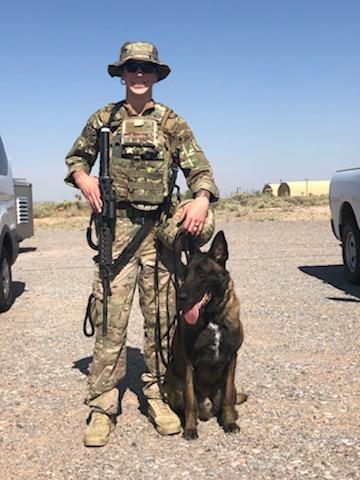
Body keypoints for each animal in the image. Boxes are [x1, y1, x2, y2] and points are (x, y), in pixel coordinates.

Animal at [165, 231, 246, 440]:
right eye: (185, 274)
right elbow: (190, 402)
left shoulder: (231, 359)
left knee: (229, 400)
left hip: (231, 386)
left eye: (202, 275)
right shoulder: (188, 365)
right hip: (175, 385)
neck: (212, 317)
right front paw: (190, 429)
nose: (180, 297)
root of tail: (208, 409)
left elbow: (227, 399)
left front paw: (229, 423)